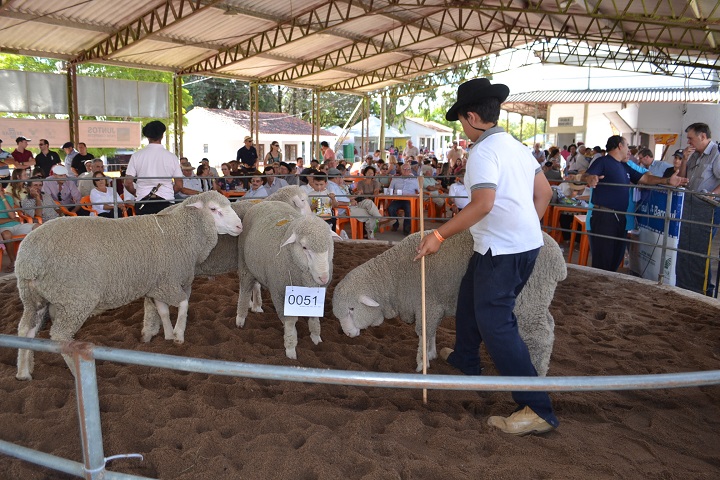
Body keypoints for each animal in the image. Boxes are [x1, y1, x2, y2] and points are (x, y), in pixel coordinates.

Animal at [14, 189, 243, 380]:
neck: (180, 231)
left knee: (26, 330)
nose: (240, 226)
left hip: (34, 297)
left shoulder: (157, 284)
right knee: (60, 336)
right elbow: (184, 304)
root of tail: (28, 260)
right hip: (75, 299)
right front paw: (178, 335)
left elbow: (162, 311)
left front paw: (168, 335)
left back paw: (24, 372)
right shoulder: (169, 282)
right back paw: (75, 371)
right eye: (214, 209)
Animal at [233, 200, 340, 360]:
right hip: (244, 264)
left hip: (256, 266)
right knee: (245, 289)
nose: (324, 277)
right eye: (304, 247)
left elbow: (314, 317)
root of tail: (265, 201)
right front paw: (290, 350)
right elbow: (290, 323)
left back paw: (257, 306)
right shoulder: (280, 293)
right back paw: (240, 319)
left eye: (330, 245)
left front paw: (316, 337)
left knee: (256, 285)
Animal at [334, 230, 568, 376]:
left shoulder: (427, 303)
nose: (348, 334)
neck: (394, 276)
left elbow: (423, 332)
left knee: (540, 337)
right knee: (549, 327)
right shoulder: (433, 305)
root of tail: (560, 263)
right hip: (538, 299)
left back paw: (536, 373)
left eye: (352, 309)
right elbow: (431, 332)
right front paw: (431, 353)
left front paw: (422, 363)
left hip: (528, 298)